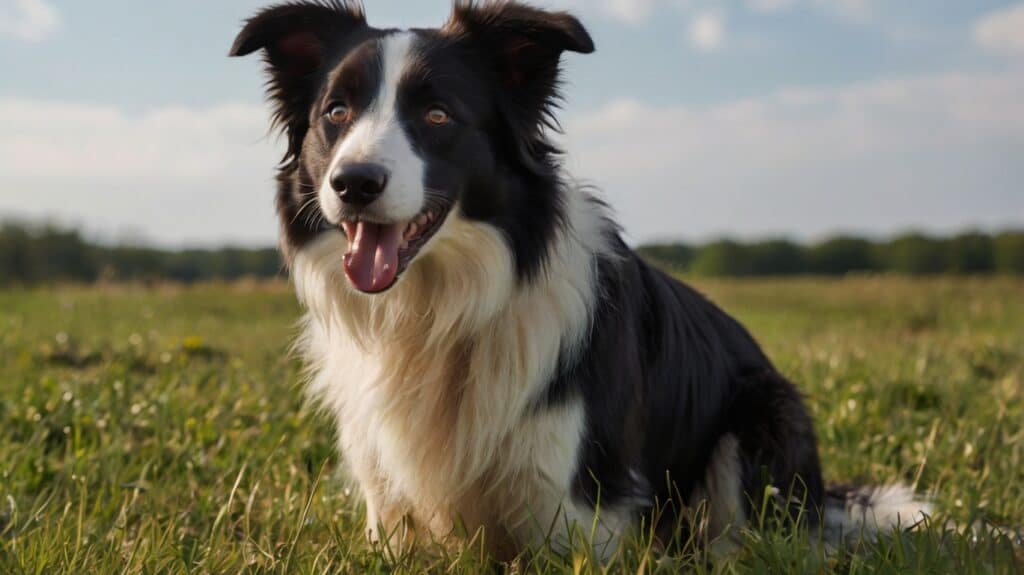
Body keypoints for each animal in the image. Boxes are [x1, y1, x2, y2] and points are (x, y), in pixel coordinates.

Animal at [230, 0, 929, 556]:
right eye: (336, 111)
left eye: (436, 115)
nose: (353, 183)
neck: (438, 314)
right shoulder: (389, 493)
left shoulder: (574, 500)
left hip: (763, 413)